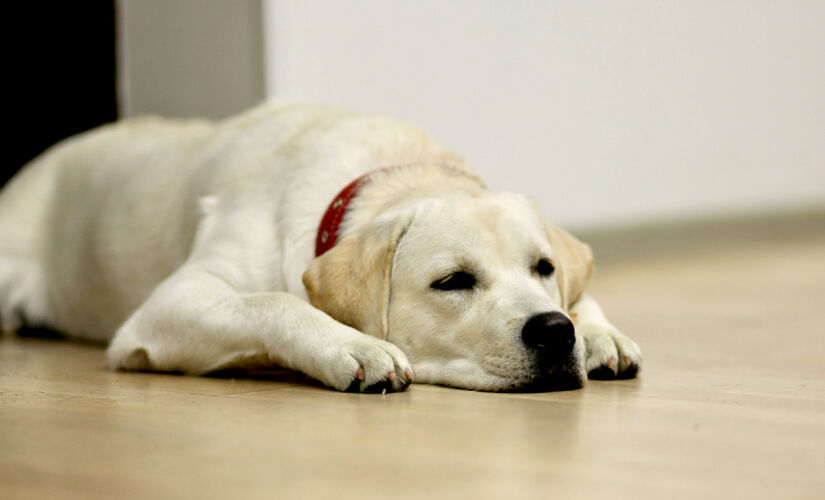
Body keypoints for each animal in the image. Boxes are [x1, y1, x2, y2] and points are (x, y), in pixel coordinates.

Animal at [0, 103, 636, 392]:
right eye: (452, 281)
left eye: (543, 267)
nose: (554, 332)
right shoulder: (166, 307)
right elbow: (274, 302)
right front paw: (353, 345)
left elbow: (585, 295)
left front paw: (597, 330)